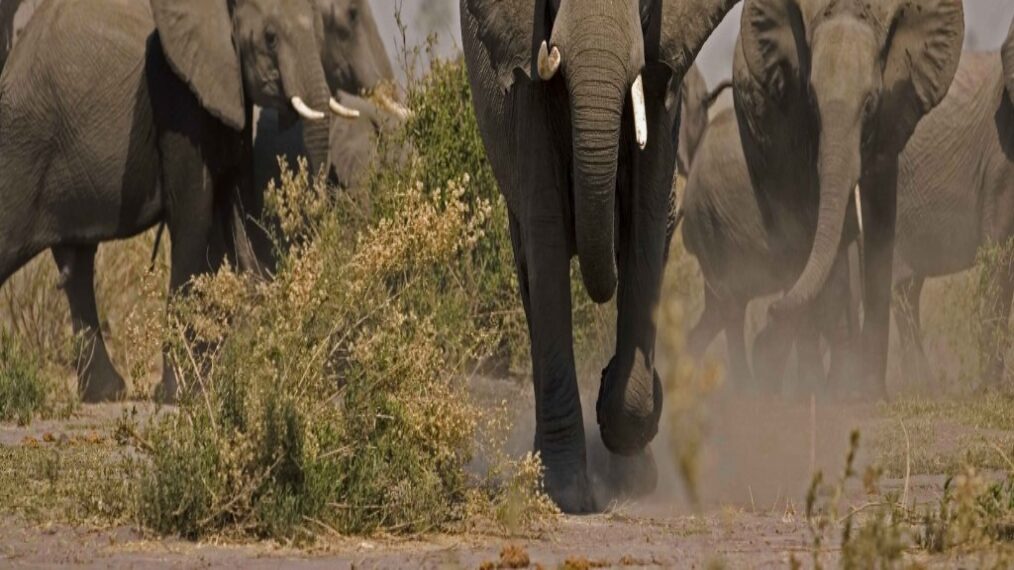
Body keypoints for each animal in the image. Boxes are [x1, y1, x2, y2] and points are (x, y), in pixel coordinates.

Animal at [0, 0, 360, 399]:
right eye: (269, 38)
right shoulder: (177, 96)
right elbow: (194, 217)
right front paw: (180, 395)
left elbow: (228, 209)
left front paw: (206, 385)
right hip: (23, 146)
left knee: (77, 263)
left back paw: (106, 394)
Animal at [460, 0, 738, 511]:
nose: (605, 376)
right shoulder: (528, 84)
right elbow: (547, 237)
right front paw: (567, 491)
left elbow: (645, 229)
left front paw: (631, 463)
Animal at [734, 0, 961, 397]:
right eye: (810, 99)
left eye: (870, 103)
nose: (771, 314)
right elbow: (819, 225)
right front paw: (841, 392)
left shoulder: (893, 112)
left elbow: (880, 220)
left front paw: (867, 391)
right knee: (791, 235)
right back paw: (810, 384)